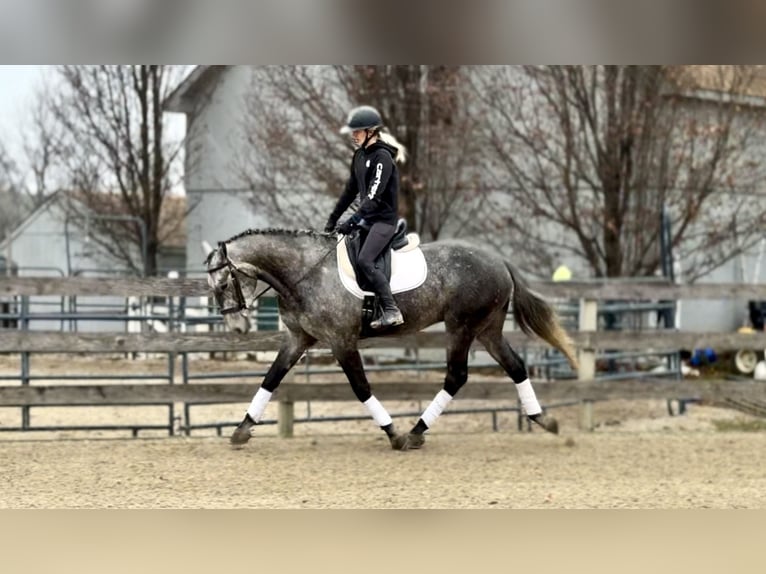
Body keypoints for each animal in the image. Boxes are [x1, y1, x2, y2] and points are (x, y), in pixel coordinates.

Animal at [205, 227, 579, 450]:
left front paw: (393, 433)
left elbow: (361, 388)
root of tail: (498, 260)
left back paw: (414, 432)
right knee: (515, 367)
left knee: (456, 376)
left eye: (223, 284)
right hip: (487, 329)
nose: (237, 328)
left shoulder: (341, 341)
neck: (305, 272)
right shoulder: (298, 339)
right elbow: (270, 379)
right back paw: (544, 420)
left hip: (461, 327)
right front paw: (241, 430)